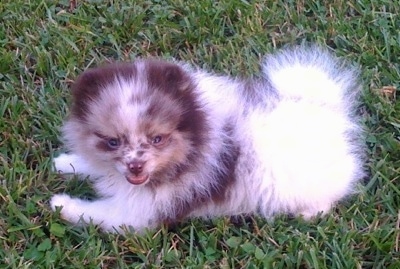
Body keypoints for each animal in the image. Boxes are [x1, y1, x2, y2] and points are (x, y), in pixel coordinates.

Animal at [50, 45, 366, 231]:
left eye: (157, 139)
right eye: (113, 142)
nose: (135, 166)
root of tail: (325, 109)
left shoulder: (140, 210)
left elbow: (97, 212)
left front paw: (62, 204)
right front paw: (67, 163)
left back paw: (309, 213)